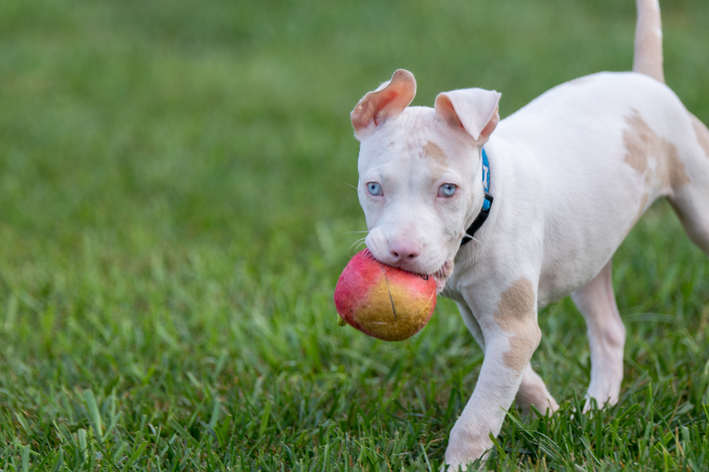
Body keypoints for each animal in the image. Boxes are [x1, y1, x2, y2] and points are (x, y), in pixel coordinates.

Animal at [348, 0, 708, 466]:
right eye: (374, 187)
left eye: (448, 189)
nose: (401, 252)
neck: (483, 212)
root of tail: (645, 79)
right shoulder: (486, 321)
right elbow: (514, 382)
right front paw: (551, 416)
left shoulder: (511, 328)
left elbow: (478, 415)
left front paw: (461, 464)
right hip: (588, 252)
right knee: (609, 330)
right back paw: (596, 409)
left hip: (698, 203)